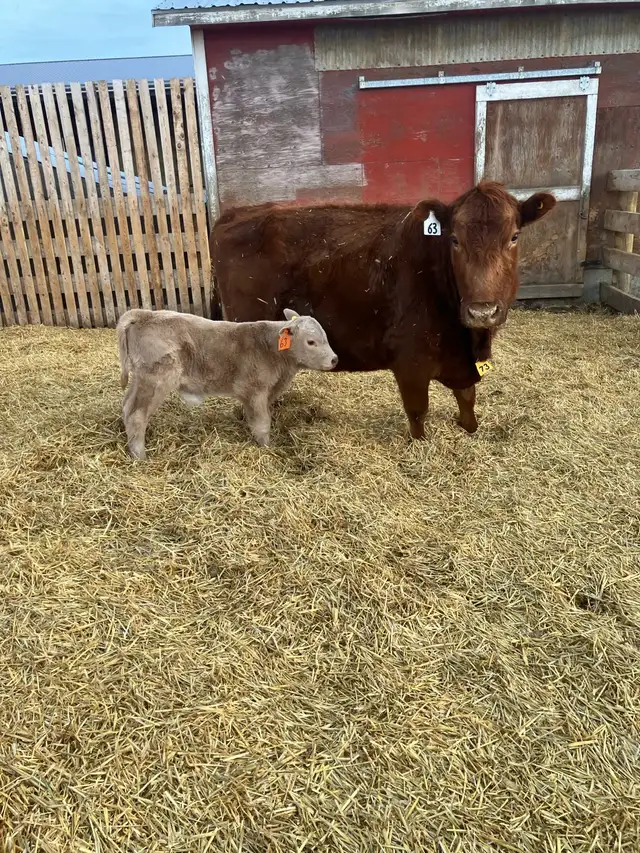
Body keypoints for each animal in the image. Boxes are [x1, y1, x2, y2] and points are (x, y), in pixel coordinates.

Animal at [116, 308, 337, 459]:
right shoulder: (255, 390)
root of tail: (146, 314)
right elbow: (263, 424)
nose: (335, 359)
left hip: (140, 379)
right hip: (156, 379)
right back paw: (140, 455)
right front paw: (267, 447)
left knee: (127, 406)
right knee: (137, 415)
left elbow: (252, 418)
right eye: (311, 342)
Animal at [210, 181, 556, 439]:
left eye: (514, 237)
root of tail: (235, 214)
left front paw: (468, 427)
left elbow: (467, 397)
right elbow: (418, 411)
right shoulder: (410, 360)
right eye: (455, 240)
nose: (482, 311)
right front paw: (420, 446)